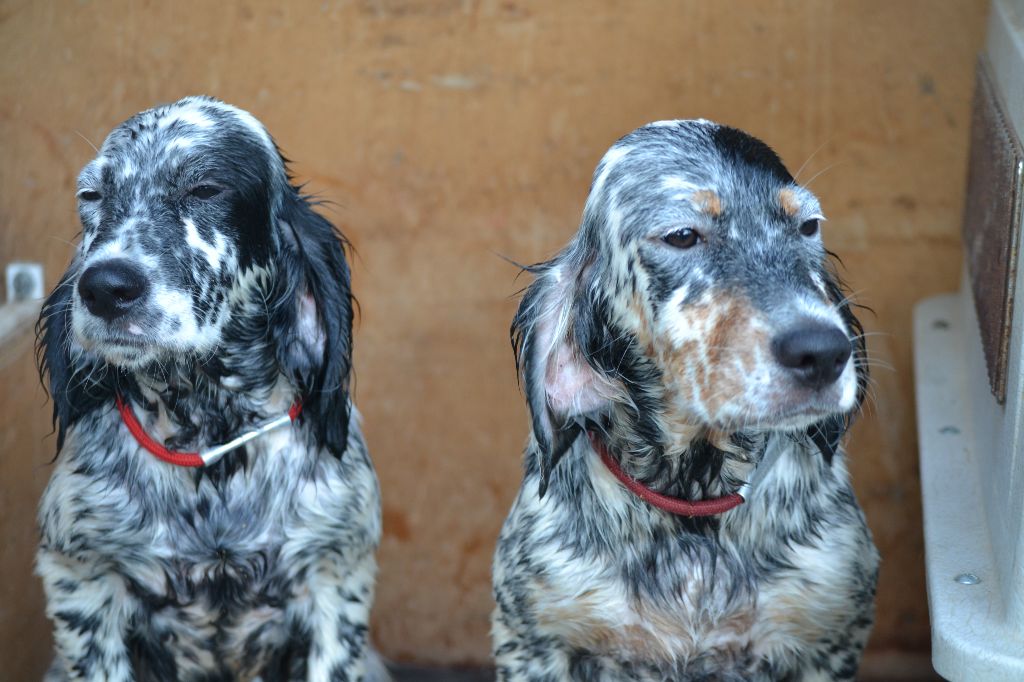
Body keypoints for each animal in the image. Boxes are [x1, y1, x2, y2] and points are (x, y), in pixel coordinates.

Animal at [37, 96, 385, 679]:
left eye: (205, 190)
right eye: (92, 196)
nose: (104, 287)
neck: (209, 431)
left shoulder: (336, 578)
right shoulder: (83, 580)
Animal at [491, 119, 876, 675]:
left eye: (808, 227)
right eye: (682, 236)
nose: (824, 351)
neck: (694, 497)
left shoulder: (830, 636)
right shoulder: (531, 640)